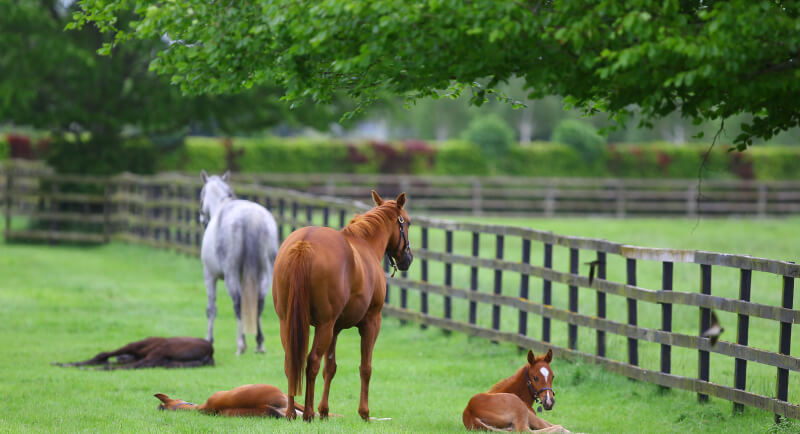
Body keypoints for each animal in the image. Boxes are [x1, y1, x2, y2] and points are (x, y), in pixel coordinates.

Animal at [198, 171, 280, 354]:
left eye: (201, 195)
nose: (202, 219)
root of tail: (252, 218)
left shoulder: (209, 275)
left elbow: (211, 309)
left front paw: (209, 339)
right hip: (265, 273)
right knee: (259, 303)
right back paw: (259, 343)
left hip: (231, 275)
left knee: (237, 303)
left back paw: (241, 344)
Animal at [274, 190, 412, 420]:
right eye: (408, 223)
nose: (408, 258)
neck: (365, 244)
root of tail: (304, 243)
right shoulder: (371, 323)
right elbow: (365, 367)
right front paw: (364, 413)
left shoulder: (336, 328)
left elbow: (330, 367)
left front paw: (324, 410)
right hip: (324, 326)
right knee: (312, 362)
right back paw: (308, 413)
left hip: (289, 323)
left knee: (291, 363)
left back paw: (292, 413)